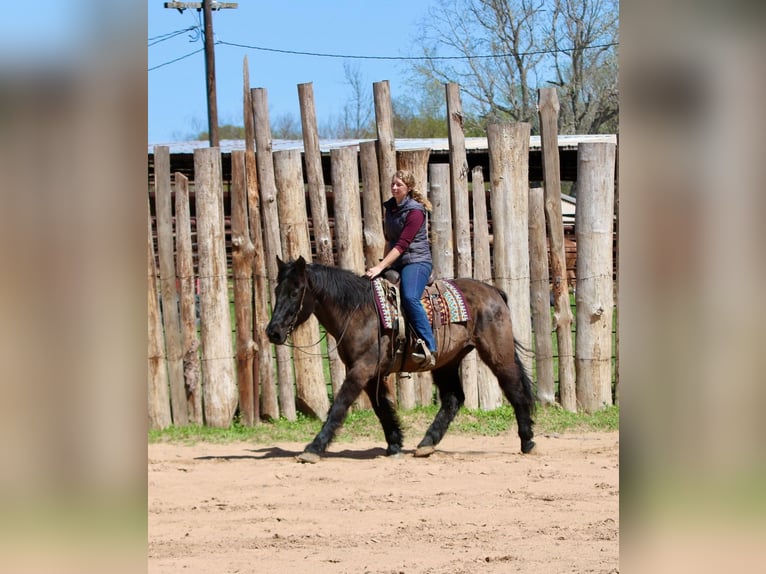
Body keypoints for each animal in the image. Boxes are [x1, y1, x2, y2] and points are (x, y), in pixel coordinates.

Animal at [266, 256, 536, 463]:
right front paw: (395, 444)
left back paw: (527, 440)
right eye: (277, 290)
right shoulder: (370, 372)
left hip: (497, 353)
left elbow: (340, 405)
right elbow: (382, 407)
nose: (273, 332)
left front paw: (313, 448)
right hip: (446, 362)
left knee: (514, 388)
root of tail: (493, 292)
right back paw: (426, 443)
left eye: (295, 292)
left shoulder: (360, 369)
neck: (359, 311)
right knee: (453, 399)